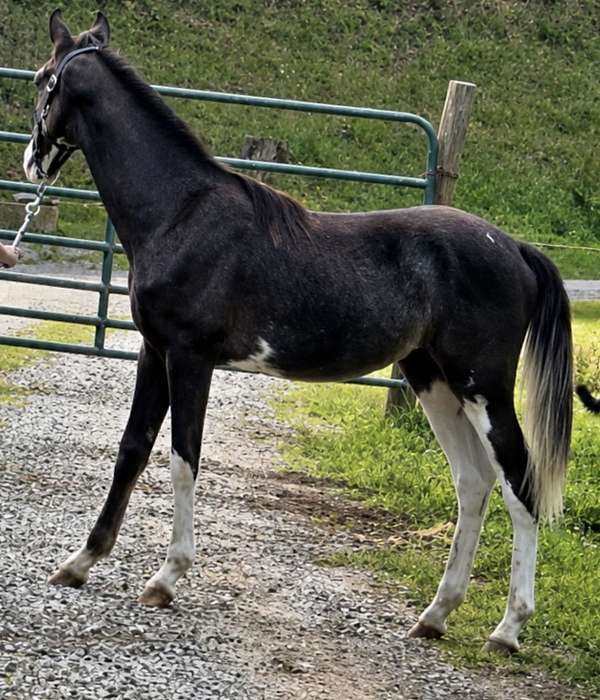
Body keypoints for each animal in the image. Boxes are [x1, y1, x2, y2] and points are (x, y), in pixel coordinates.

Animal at [23, 10, 573, 656]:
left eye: (42, 80)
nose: (31, 162)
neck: (181, 214)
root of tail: (513, 246)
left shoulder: (189, 359)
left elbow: (184, 458)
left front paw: (165, 578)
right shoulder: (153, 353)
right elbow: (132, 450)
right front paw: (80, 563)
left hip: (481, 386)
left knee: (519, 484)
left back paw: (507, 629)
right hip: (432, 382)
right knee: (473, 482)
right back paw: (434, 616)